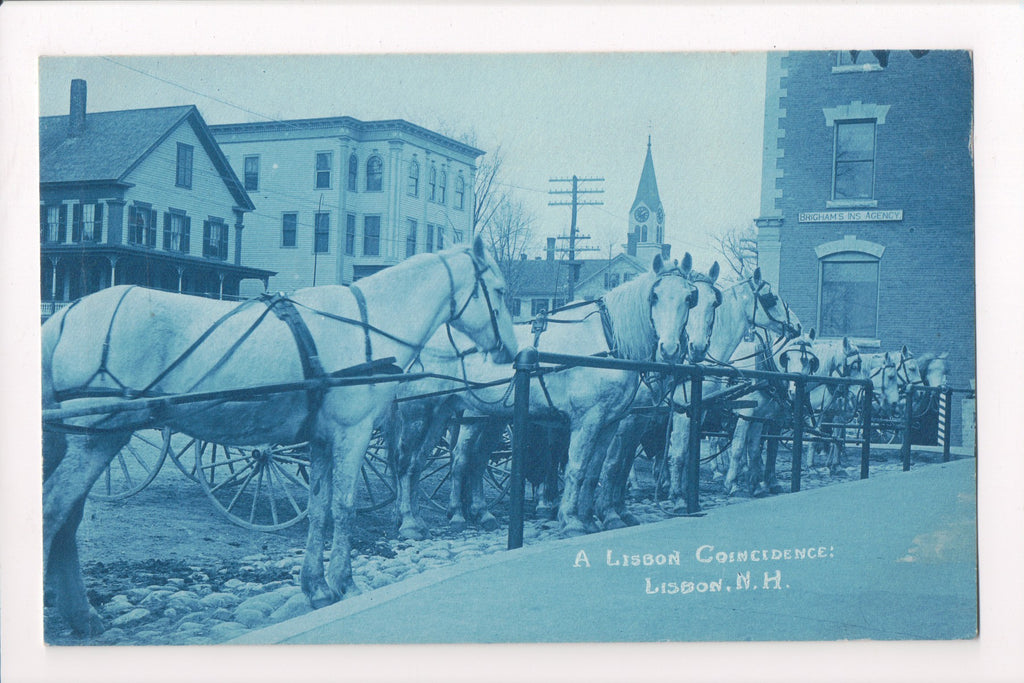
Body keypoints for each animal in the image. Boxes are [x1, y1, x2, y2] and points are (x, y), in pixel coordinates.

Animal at [43, 236, 516, 634]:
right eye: (498, 289)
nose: (511, 351)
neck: (366, 324)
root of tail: (68, 311)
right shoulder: (353, 433)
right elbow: (344, 508)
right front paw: (344, 582)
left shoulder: (322, 441)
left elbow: (320, 509)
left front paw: (316, 585)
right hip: (98, 438)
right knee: (54, 511)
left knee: (68, 518)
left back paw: (78, 612)